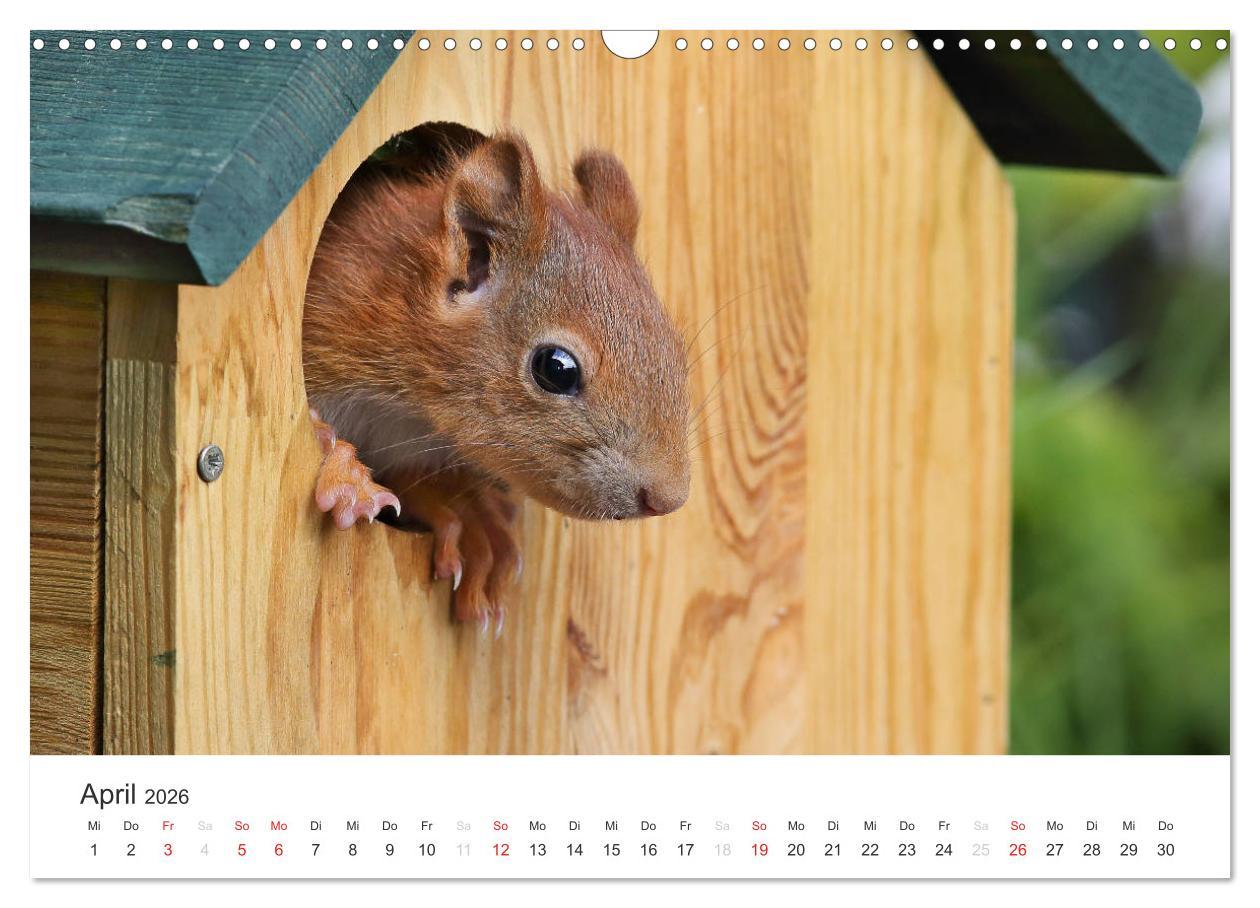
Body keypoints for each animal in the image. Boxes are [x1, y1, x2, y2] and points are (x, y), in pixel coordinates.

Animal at [302, 124, 691, 637]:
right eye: (555, 368)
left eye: (676, 350)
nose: (667, 498)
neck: (409, 412)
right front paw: (342, 469)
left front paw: (471, 519)